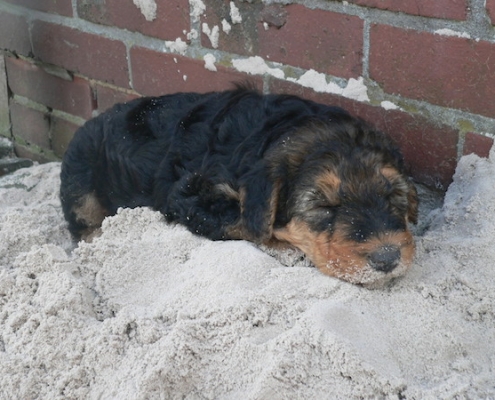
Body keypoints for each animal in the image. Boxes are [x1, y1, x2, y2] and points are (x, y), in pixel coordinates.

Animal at [61, 86, 418, 286]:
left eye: (393, 195)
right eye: (324, 207)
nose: (387, 258)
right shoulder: (189, 194)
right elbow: (245, 222)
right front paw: (285, 248)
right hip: (80, 181)